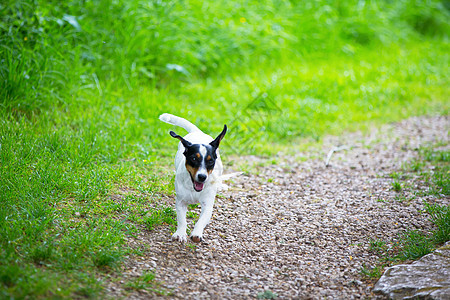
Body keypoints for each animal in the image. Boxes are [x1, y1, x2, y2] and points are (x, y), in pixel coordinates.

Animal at [160, 113, 227, 243]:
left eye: (210, 161)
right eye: (194, 158)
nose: (202, 177)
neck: (193, 188)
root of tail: (197, 132)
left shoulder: (207, 205)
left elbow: (201, 221)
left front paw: (196, 233)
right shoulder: (180, 202)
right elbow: (182, 220)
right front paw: (180, 233)